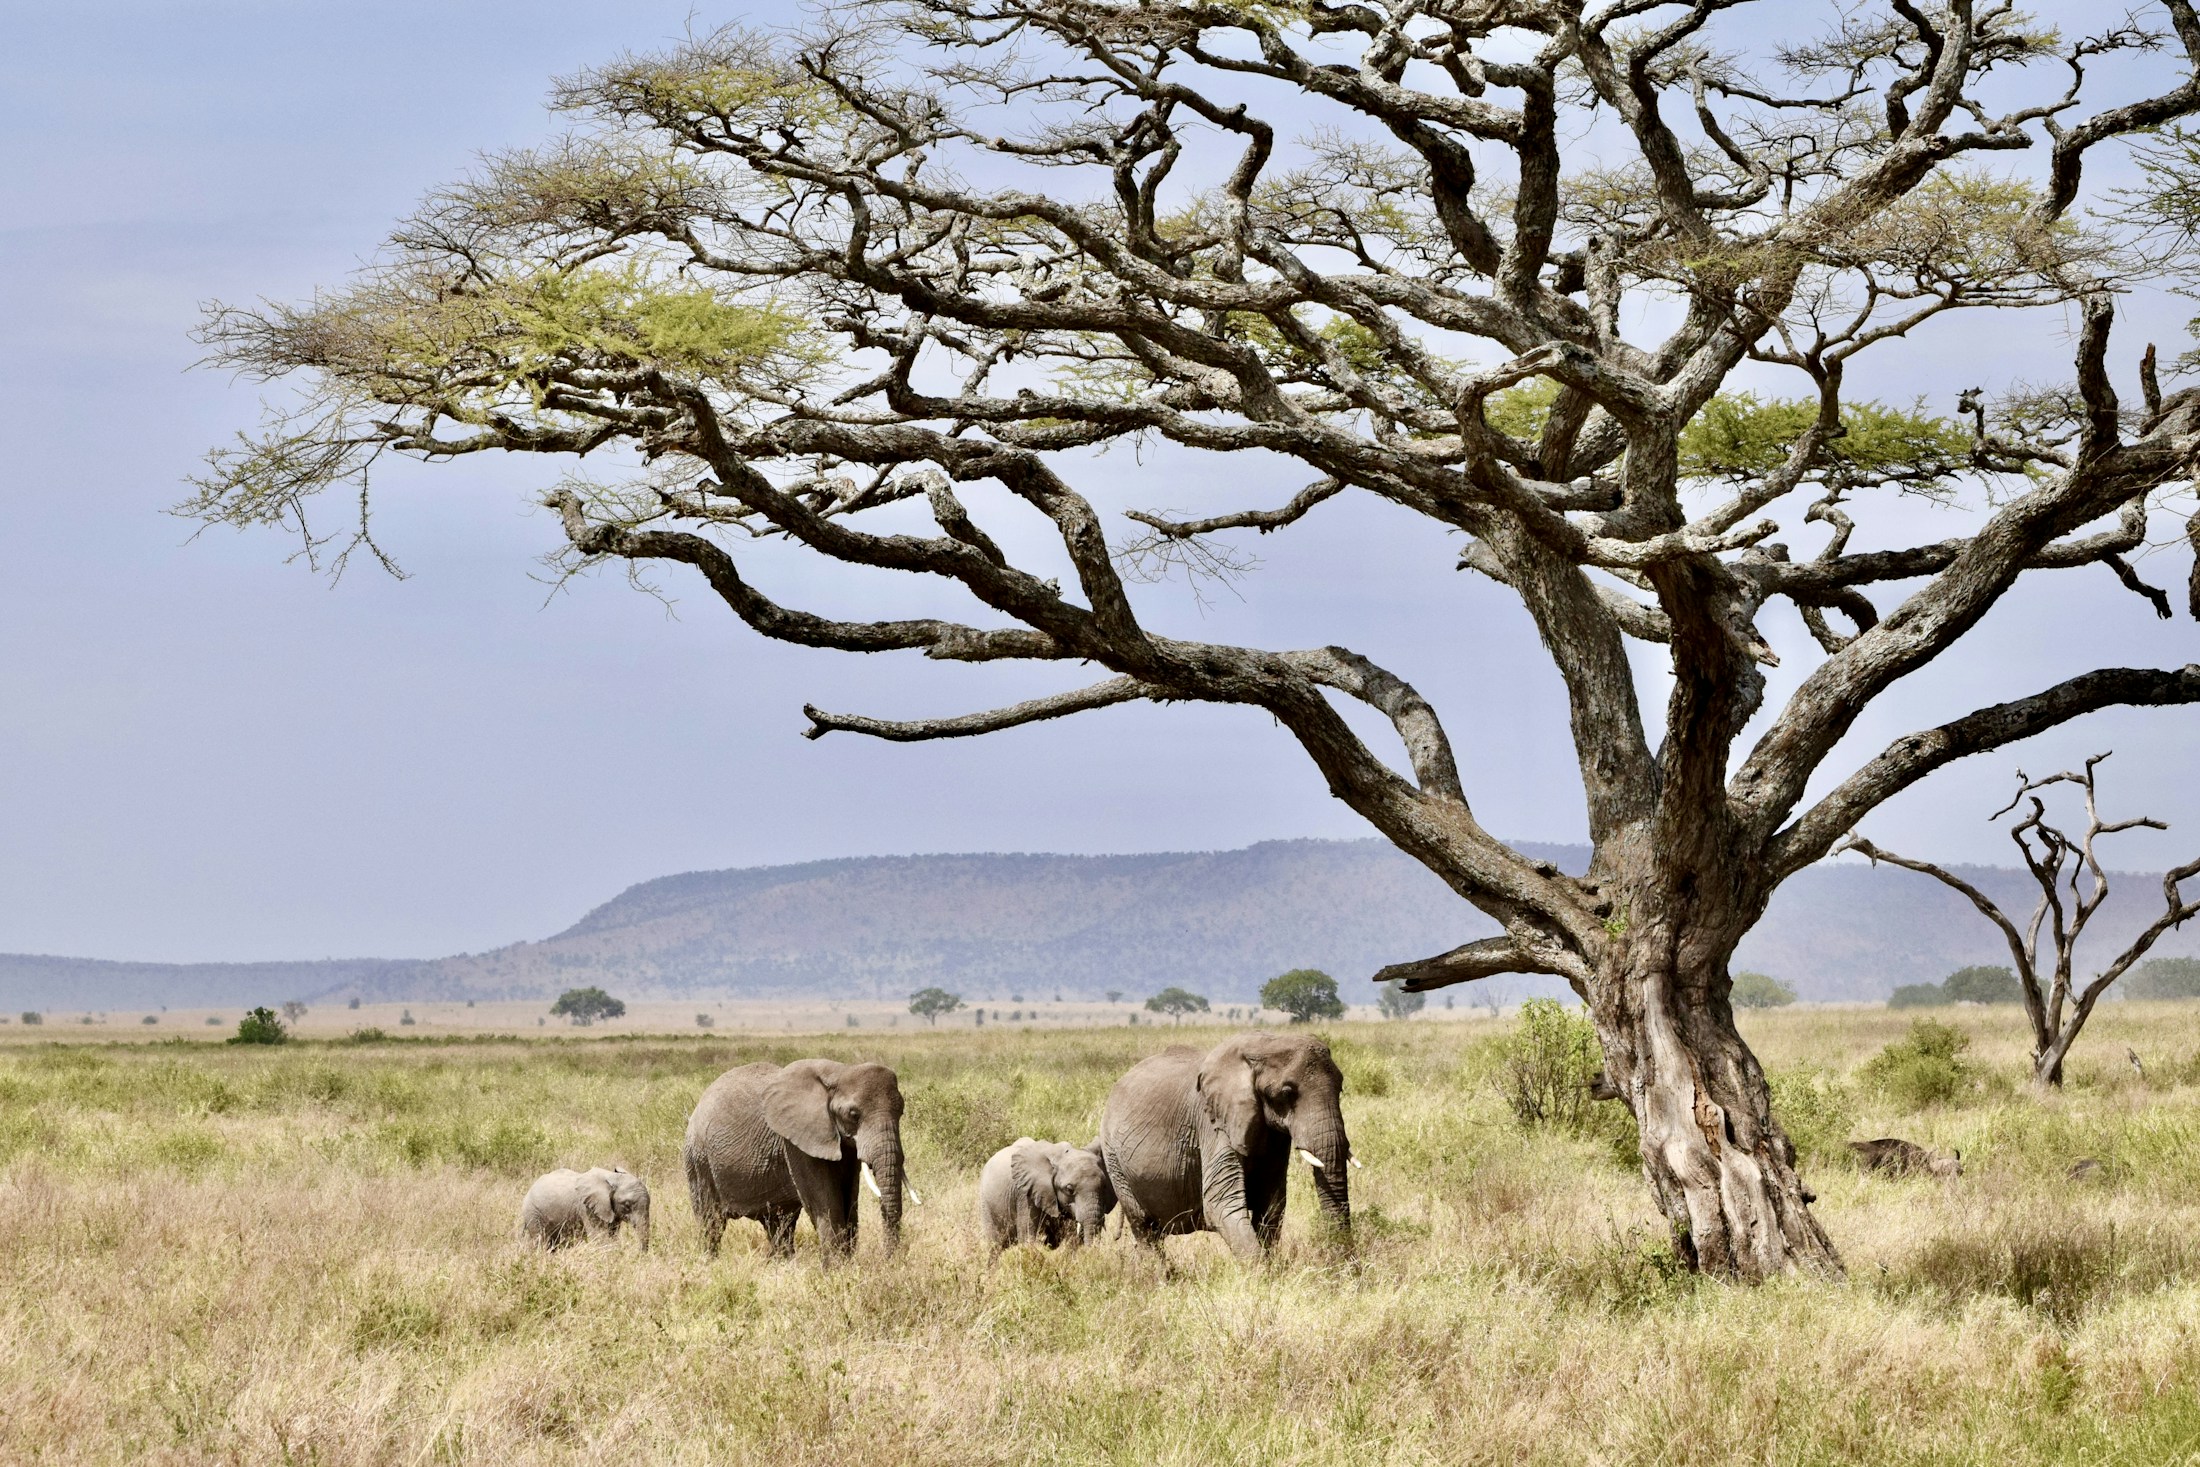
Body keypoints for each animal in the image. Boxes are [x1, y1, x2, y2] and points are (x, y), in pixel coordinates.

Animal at [518, 1166, 652, 1250]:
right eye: (627, 1205)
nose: (639, 1254)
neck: (613, 1177)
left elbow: (611, 1235)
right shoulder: (587, 1208)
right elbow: (600, 1238)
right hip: (532, 1212)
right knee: (541, 1240)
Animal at [685, 1058, 908, 1263]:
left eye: (901, 1111)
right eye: (853, 1114)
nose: (888, 1260)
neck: (839, 1071)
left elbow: (848, 1197)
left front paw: (846, 1263)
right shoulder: (796, 1142)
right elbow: (824, 1200)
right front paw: (836, 1269)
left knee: (778, 1224)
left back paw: (782, 1263)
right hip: (698, 1158)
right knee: (711, 1222)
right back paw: (709, 1263)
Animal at [975, 1138, 1116, 1255]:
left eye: (1104, 1186)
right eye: (1069, 1189)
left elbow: (1070, 1240)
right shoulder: (1025, 1194)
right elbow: (1028, 1238)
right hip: (986, 1204)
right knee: (994, 1247)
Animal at [1098, 1031, 1351, 1259]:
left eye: (1341, 1087)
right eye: (1287, 1093)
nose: (1345, 1264)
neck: (1263, 1045)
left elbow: (1271, 1204)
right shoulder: (1213, 1121)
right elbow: (1221, 1203)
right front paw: (1263, 1274)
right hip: (1113, 1157)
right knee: (1143, 1226)